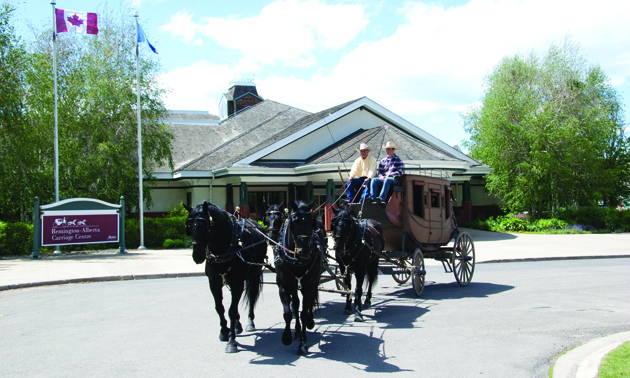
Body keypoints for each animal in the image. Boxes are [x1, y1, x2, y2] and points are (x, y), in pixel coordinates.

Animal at [186, 202, 268, 352]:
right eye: (189, 227)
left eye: (205, 227)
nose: (197, 256)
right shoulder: (214, 283)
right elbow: (220, 308)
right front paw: (224, 331)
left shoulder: (237, 283)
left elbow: (231, 310)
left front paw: (231, 341)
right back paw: (236, 325)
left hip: (254, 275)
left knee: (251, 297)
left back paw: (250, 321)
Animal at [276, 199, 326, 356]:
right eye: (294, 220)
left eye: (311, 221)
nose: (304, 252)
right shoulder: (283, 286)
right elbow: (288, 312)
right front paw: (287, 337)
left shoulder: (309, 286)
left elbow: (304, 312)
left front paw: (303, 345)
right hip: (294, 285)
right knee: (296, 303)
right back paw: (297, 331)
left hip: (313, 282)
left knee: (308, 304)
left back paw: (309, 323)